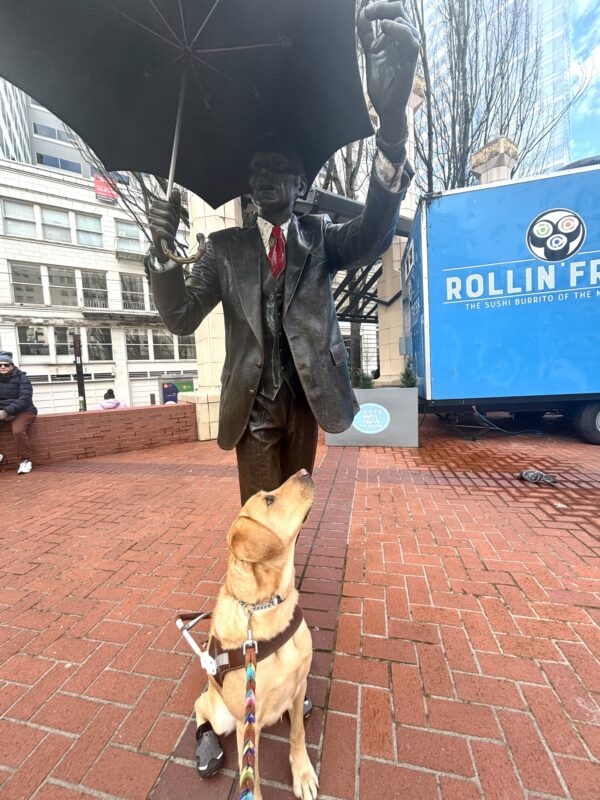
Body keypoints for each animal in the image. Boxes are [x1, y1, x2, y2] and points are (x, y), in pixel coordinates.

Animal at [196, 468, 318, 800]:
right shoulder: (246, 724)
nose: (305, 471)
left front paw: (302, 773)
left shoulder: (299, 684)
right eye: (269, 500)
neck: (266, 608)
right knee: (200, 707)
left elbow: (298, 734)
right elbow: (253, 773)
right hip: (222, 716)